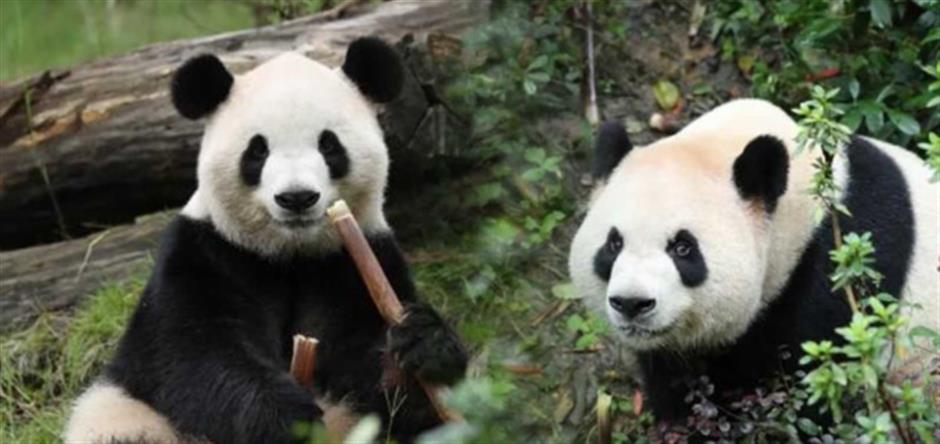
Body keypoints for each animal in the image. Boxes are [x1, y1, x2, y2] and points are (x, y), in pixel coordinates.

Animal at [64, 37, 468, 444]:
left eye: (329, 145)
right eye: (258, 150)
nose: (297, 198)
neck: (291, 255)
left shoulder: (355, 261)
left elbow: (375, 375)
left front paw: (423, 343)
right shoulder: (205, 254)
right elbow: (194, 355)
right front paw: (287, 418)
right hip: (122, 413)